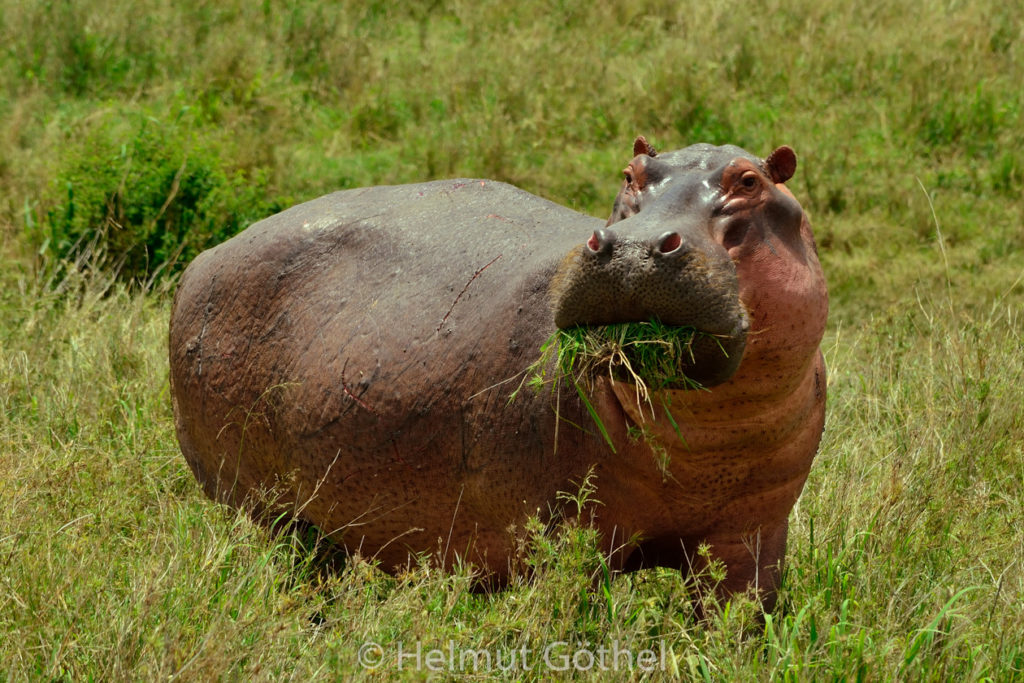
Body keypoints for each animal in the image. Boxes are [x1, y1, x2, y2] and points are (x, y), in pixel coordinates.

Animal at [168, 137, 828, 611]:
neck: (699, 436)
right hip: (259, 508)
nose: (635, 248)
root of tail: (207, 256)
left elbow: (736, 618)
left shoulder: (753, 536)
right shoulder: (562, 534)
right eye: (629, 173)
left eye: (750, 181)